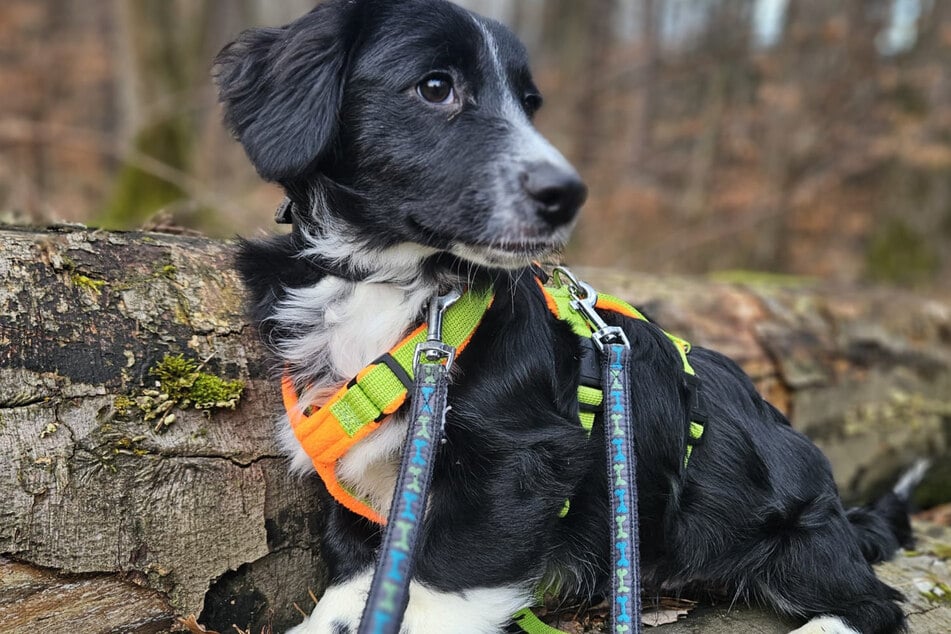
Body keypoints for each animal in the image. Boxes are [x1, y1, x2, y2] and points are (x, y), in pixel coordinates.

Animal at [214, 1, 916, 632]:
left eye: (530, 103)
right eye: (436, 87)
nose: (568, 194)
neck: (399, 281)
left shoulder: (523, 458)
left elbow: (444, 577)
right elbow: (362, 565)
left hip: (795, 537)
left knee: (874, 603)